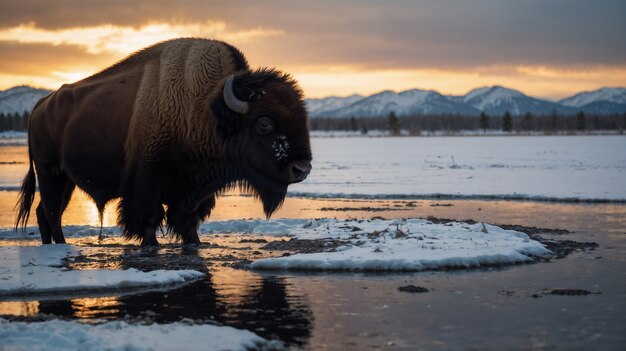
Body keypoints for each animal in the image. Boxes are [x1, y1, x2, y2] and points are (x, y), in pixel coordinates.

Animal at [12, 37, 310, 248]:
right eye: (264, 123)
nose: (301, 169)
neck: (206, 107)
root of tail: (40, 105)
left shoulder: (196, 191)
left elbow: (187, 221)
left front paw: (195, 243)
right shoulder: (148, 179)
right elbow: (149, 219)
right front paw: (151, 244)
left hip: (66, 180)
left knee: (45, 212)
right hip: (49, 172)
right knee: (51, 212)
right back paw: (61, 247)